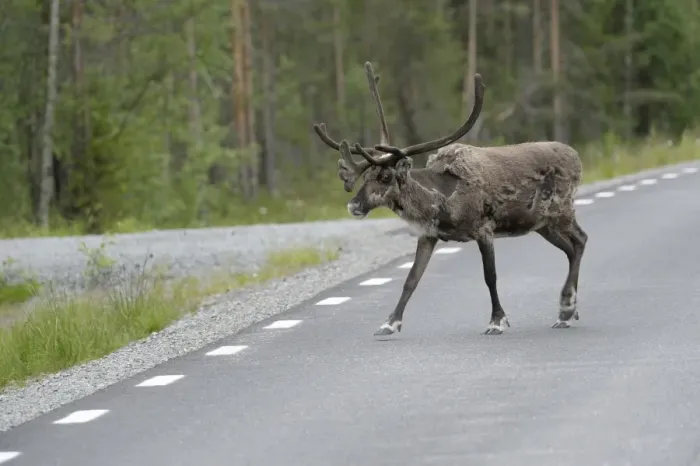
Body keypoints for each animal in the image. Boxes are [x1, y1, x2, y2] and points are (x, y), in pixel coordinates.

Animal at [313, 62, 588, 337]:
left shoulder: (484, 230)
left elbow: (490, 276)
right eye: (365, 176)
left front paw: (497, 320)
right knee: (570, 249)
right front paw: (390, 323)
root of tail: (576, 156)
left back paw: (566, 307)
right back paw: (567, 311)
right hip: (542, 224)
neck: (440, 204)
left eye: (385, 176)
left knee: (581, 240)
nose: (354, 205)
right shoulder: (428, 235)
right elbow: (411, 279)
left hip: (562, 212)